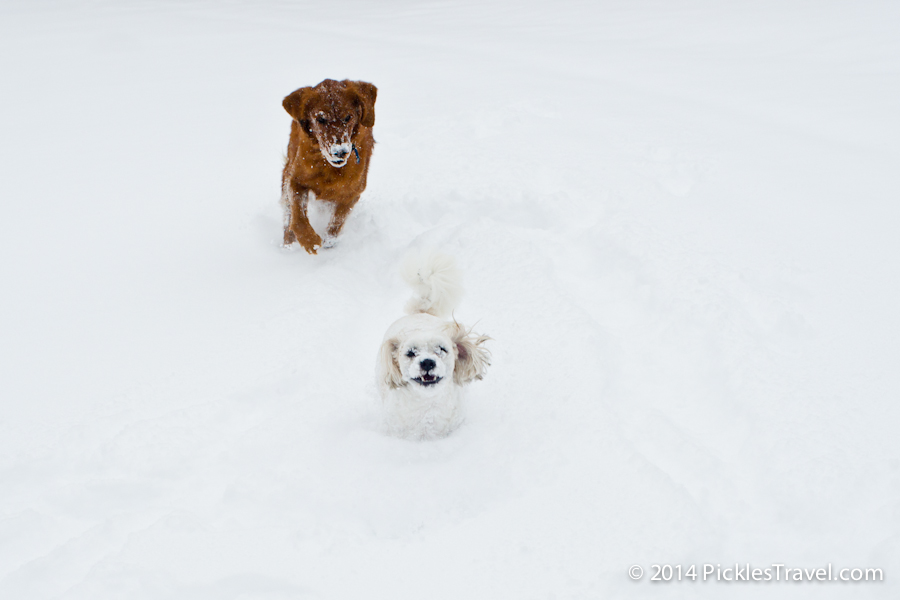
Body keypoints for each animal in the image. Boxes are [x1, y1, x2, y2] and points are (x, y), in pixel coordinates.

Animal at [284, 79, 378, 253]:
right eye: (320, 119)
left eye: (348, 117)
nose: (340, 152)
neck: (328, 167)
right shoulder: (295, 178)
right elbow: (298, 215)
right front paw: (309, 240)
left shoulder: (353, 192)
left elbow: (338, 220)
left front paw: (329, 241)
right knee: (288, 214)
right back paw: (288, 243)